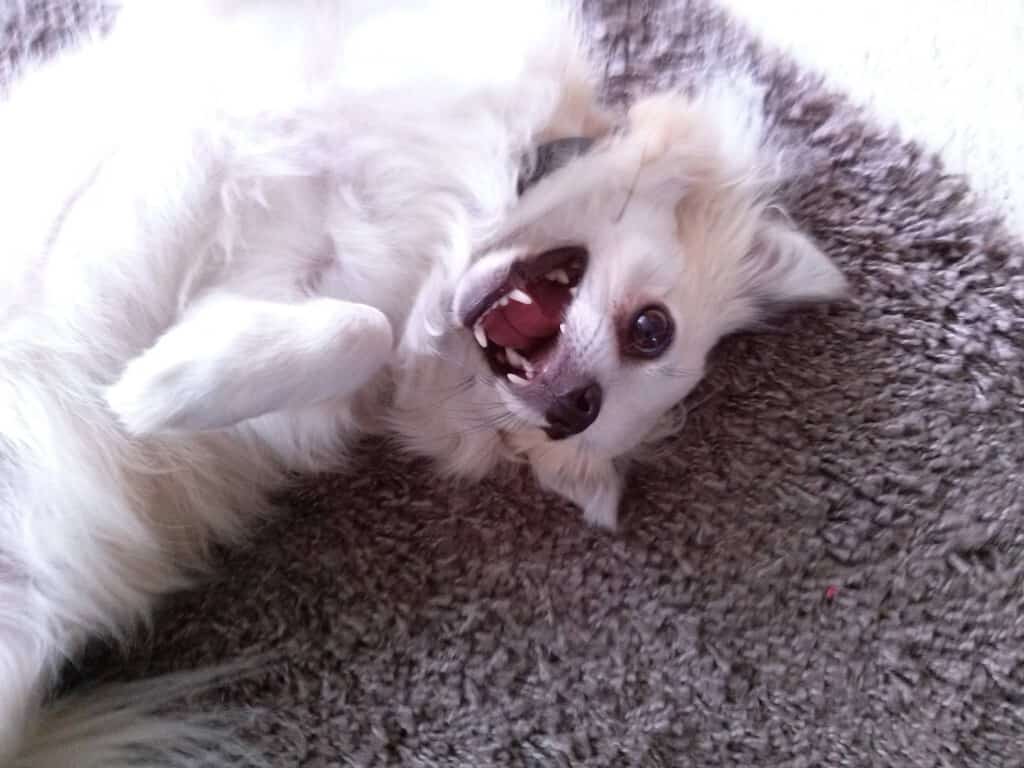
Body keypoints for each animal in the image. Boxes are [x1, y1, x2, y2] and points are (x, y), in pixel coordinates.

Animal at [0, 3, 847, 765]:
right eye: (652, 329)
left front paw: (163, 385)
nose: (574, 407)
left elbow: (360, 329)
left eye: (574, 423)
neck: (444, 234)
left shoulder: (299, 371)